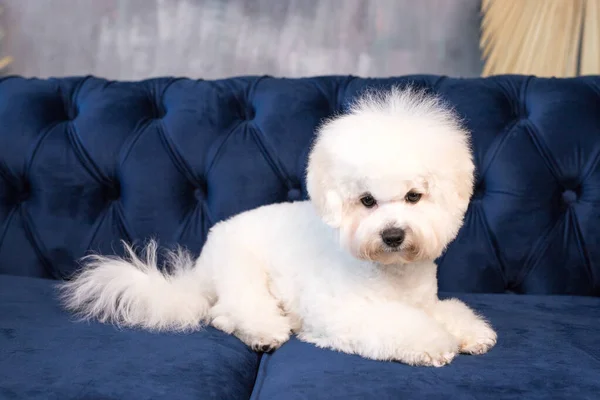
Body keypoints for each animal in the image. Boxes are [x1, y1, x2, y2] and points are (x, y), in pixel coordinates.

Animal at [57, 86, 496, 366]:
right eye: (367, 201)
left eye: (414, 196)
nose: (392, 235)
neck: (391, 275)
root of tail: (200, 267)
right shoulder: (342, 313)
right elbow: (401, 326)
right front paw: (436, 344)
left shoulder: (426, 302)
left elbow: (447, 312)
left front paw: (470, 333)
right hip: (242, 273)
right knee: (227, 311)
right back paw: (264, 332)